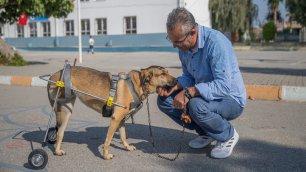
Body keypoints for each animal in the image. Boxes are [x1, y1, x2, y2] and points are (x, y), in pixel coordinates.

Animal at [47, 65, 177, 159]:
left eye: (167, 72)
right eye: (163, 74)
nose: (177, 81)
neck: (137, 84)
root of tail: (54, 75)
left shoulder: (122, 120)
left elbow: (123, 136)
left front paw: (127, 147)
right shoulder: (116, 118)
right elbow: (108, 140)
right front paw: (105, 155)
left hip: (66, 111)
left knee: (60, 132)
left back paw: (57, 150)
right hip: (62, 110)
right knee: (59, 131)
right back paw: (57, 150)